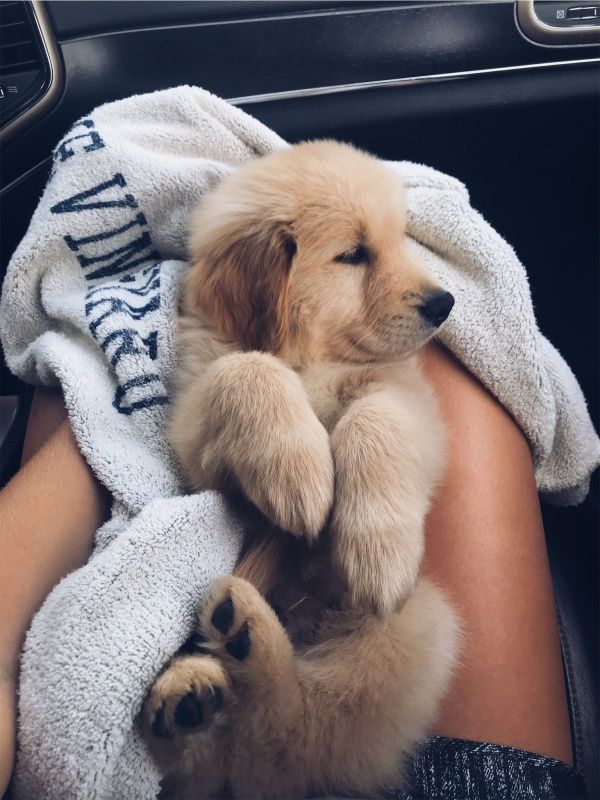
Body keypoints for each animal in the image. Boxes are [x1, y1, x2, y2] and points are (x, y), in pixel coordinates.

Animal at [144, 141, 460, 796]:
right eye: (353, 254)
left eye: (399, 240)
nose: (444, 303)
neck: (311, 358)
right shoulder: (194, 435)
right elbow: (248, 369)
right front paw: (300, 473)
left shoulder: (409, 400)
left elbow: (374, 421)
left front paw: (379, 548)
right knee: (267, 749)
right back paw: (202, 679)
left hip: (416, 629)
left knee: (286, 741)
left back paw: (230, 655)